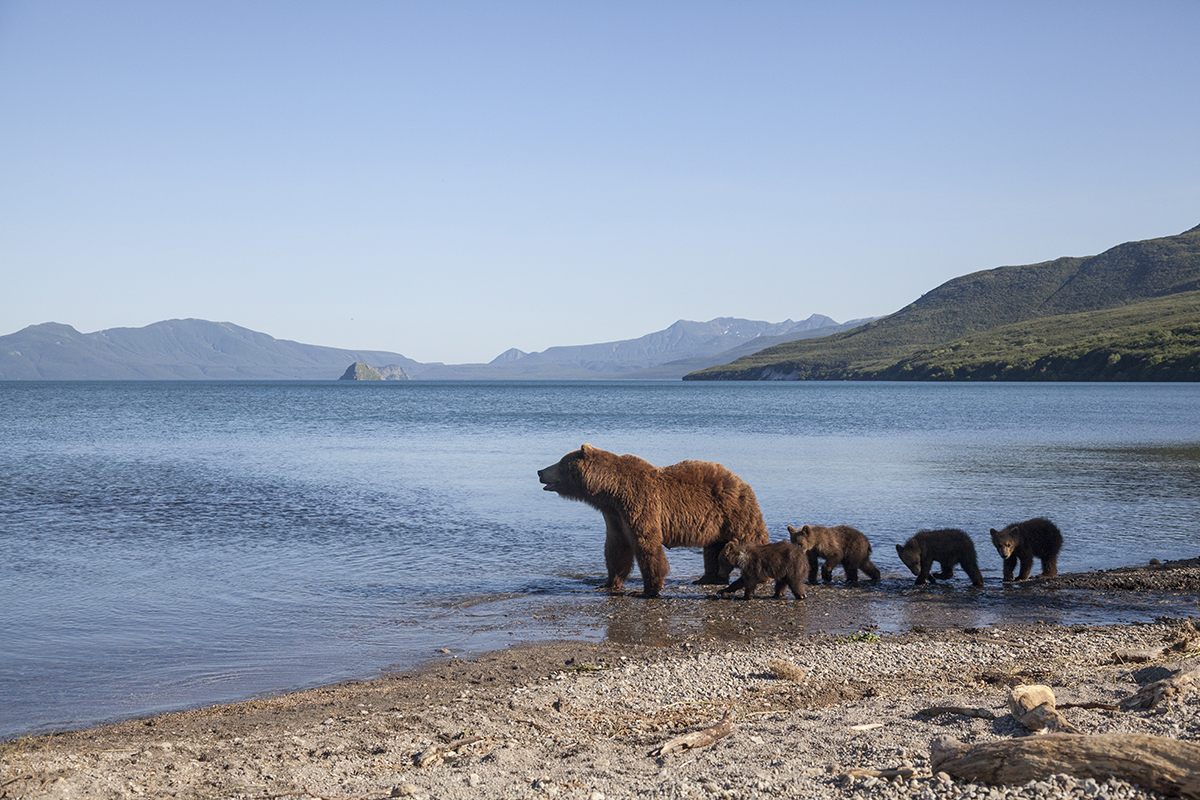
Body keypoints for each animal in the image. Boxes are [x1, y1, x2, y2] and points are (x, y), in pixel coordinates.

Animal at [537, 448, 768, 597]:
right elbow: (616, 548)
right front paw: (608, 584)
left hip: (734, 511)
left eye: (560, 462)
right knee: (713, 548)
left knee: (751, 536)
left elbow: (646, 544)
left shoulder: (639, 503)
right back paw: (708, 578)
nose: (540, 471)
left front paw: (649, 589)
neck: (610, 491)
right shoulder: (614, 516)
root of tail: (740, 481)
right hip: (715, 522)